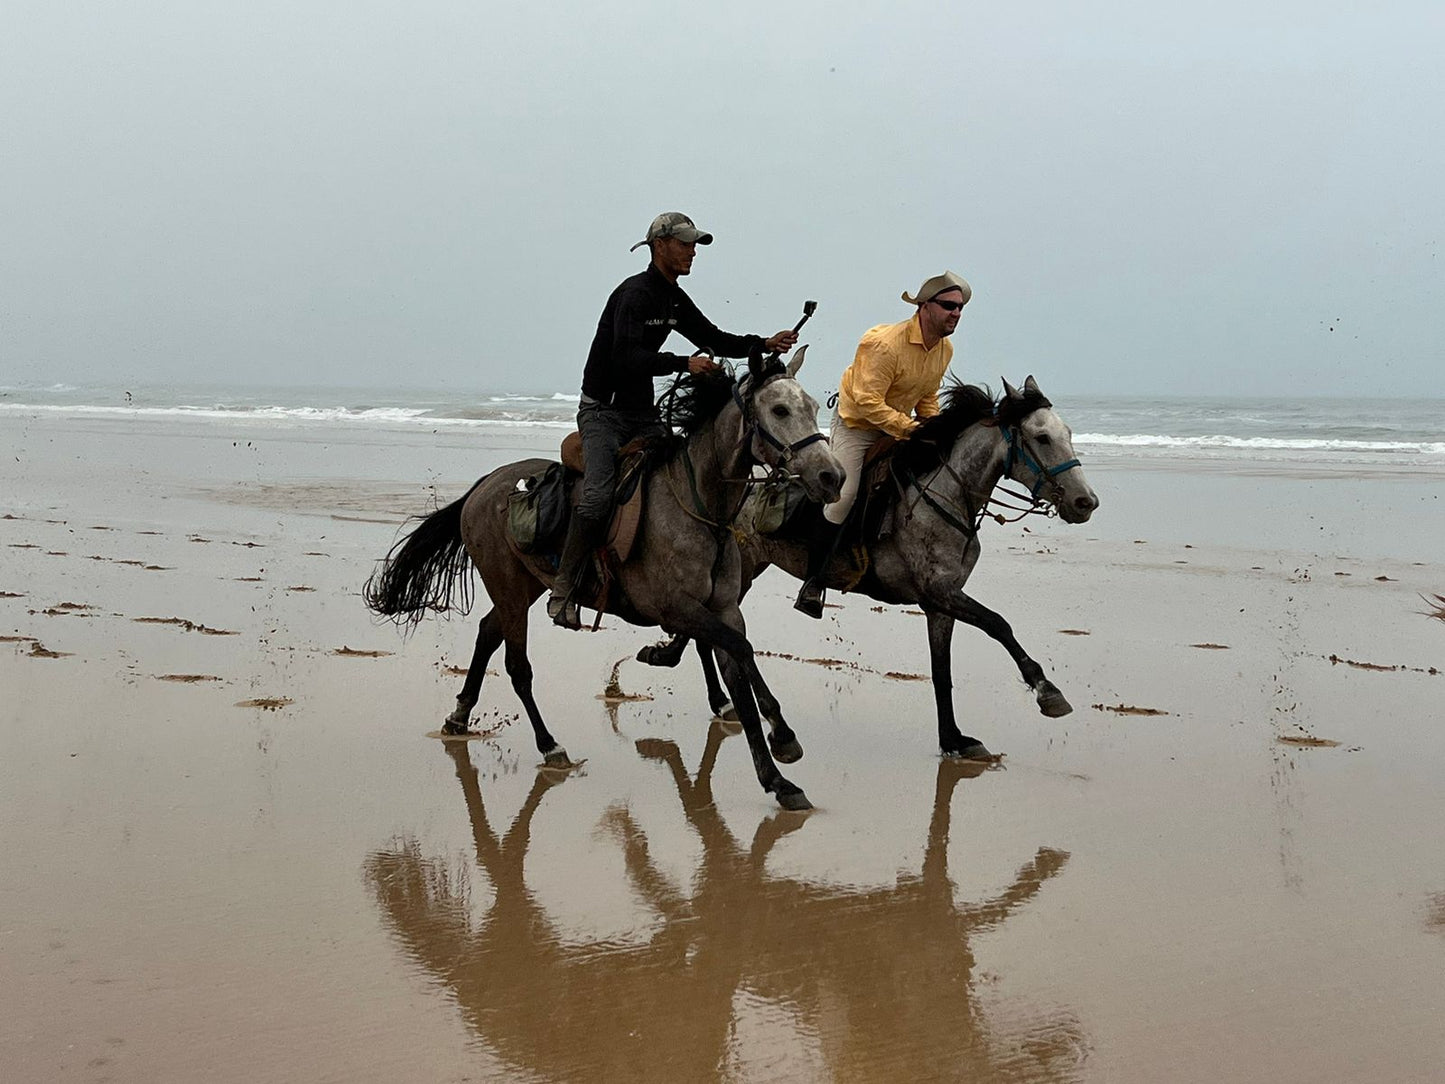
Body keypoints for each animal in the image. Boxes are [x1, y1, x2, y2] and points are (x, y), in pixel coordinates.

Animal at [638, 378, 1098, 757]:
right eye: (1041, 437)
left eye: (1068, 434)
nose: (1086, 502)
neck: (943, 497)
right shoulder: (942, 592)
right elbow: (999, 624)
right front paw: (1047, 691)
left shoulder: (940, 604)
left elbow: (942, 672)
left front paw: (952, 739)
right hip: (741, 573)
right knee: (704, 634)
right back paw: (682, 669)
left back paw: (706, 689)